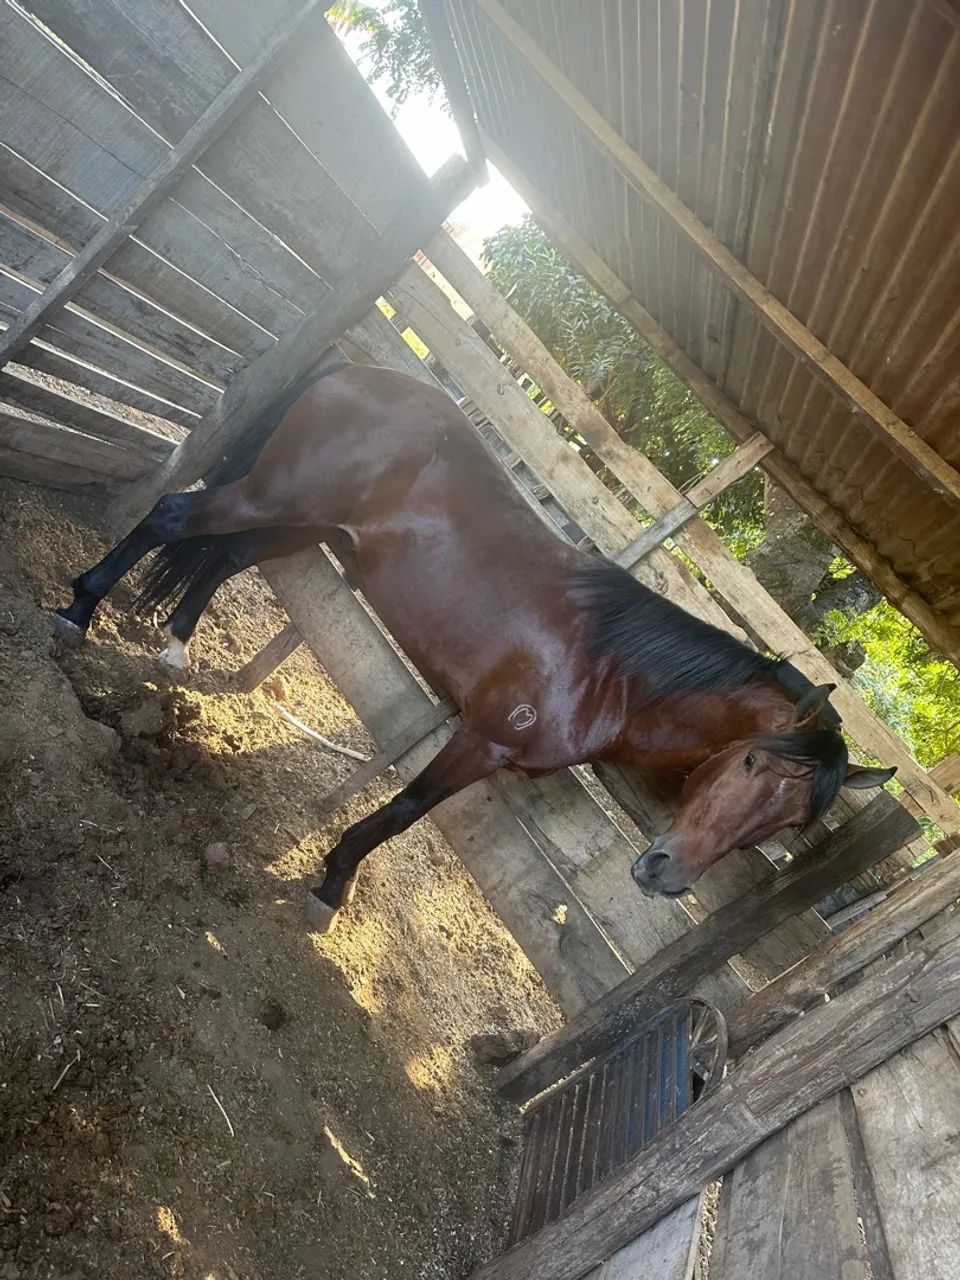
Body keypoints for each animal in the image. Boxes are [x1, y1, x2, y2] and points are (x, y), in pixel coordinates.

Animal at [54, 359, 895, 932]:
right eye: (751, 763)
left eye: (791, 824)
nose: (665, 876)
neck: (609, 673)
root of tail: (360, 372)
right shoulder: (482, 740)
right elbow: (404, 810)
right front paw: (330, 886)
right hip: (278, 497)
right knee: (173, 517)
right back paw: (78, 613)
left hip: (308, 521)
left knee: (227, 555)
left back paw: (174, 649)